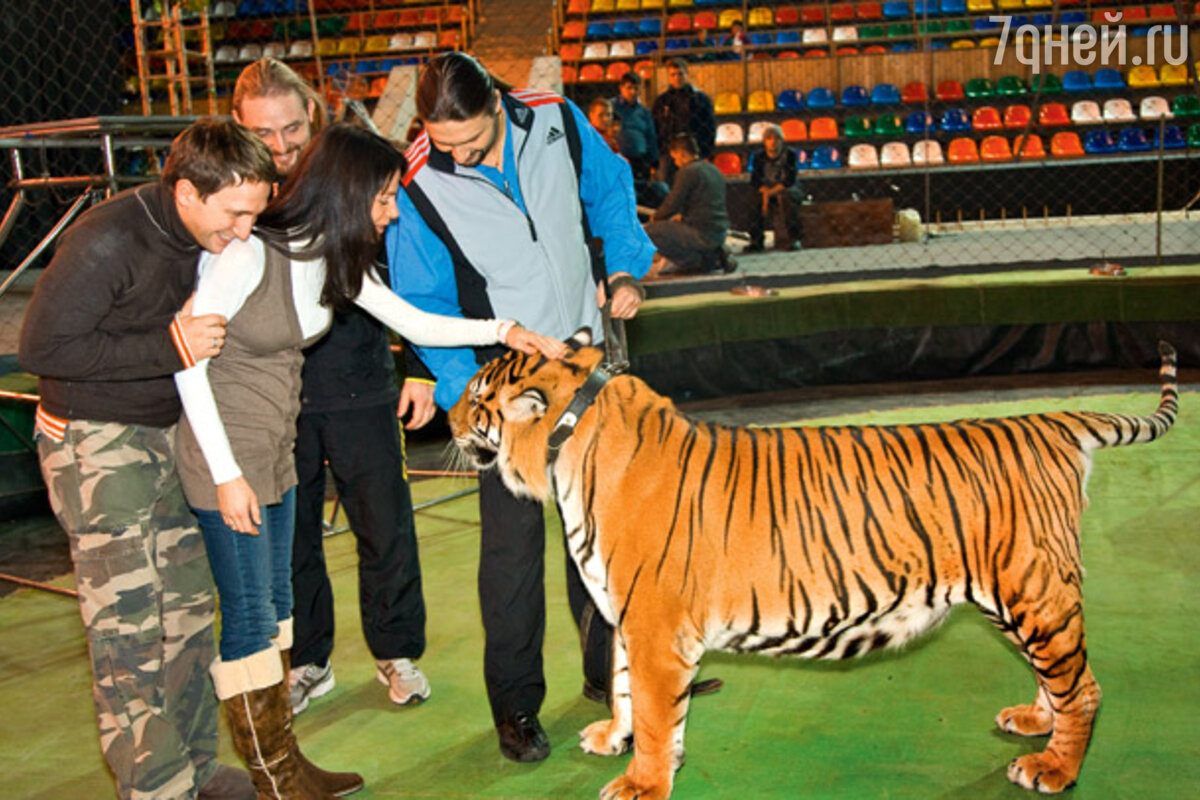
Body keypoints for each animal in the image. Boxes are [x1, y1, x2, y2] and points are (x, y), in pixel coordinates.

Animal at [448, 331, 1180, 800]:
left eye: (478, 397)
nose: (446, 419)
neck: (567, 450)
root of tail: (1053, 421)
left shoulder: (656, 626)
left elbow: (657, 713)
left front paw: (642, 783)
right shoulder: (628, 620)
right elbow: (625, 688)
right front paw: (615, 738)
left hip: (1033, 592)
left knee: (1083, 687)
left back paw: (1054, 769)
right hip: (1015, 598)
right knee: (1056, 678)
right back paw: (1035, 725)